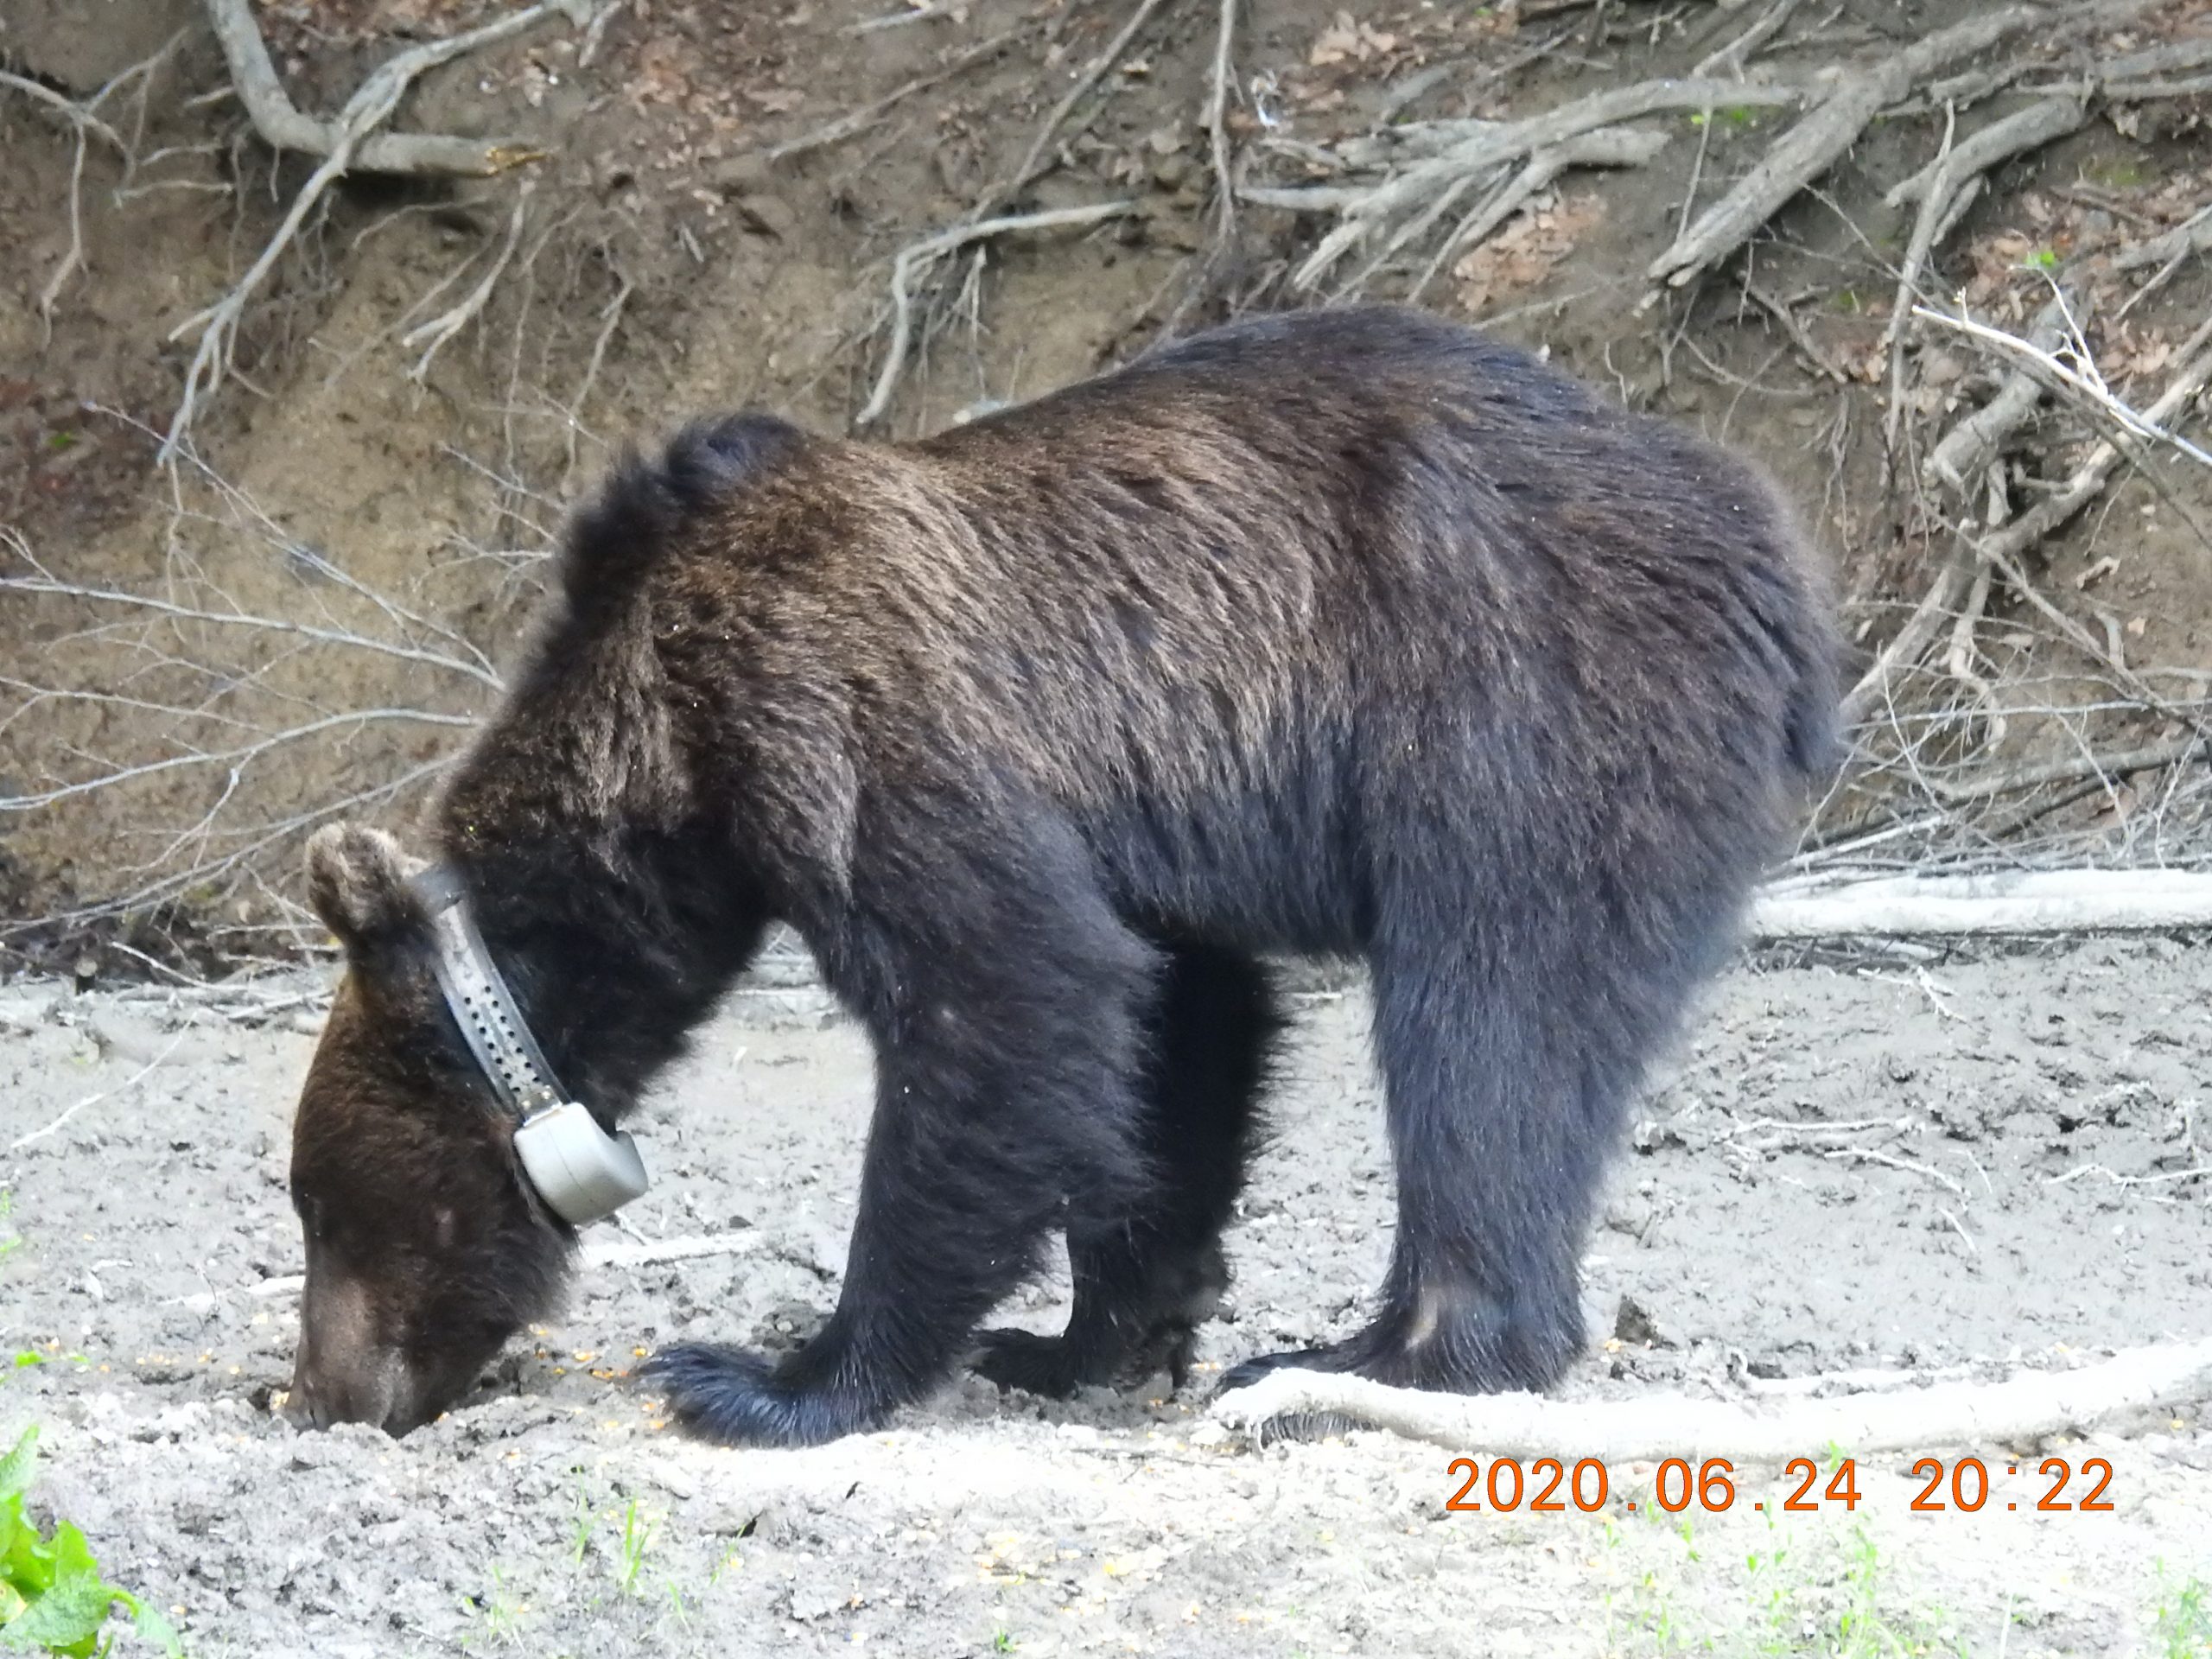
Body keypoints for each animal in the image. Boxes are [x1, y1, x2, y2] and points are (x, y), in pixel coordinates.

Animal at [281, 305, 1831, 1451]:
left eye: (315, 1207)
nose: (323, 1396)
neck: (666, 752)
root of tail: (1776, 552)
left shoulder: (833, 704)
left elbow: (1005, 986)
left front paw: (773, 1376)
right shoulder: (1140, 846)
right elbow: (1174, 1035)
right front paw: (1085, 1337)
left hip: (1527, 705)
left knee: (1494, 1021)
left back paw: (1393, 1354)